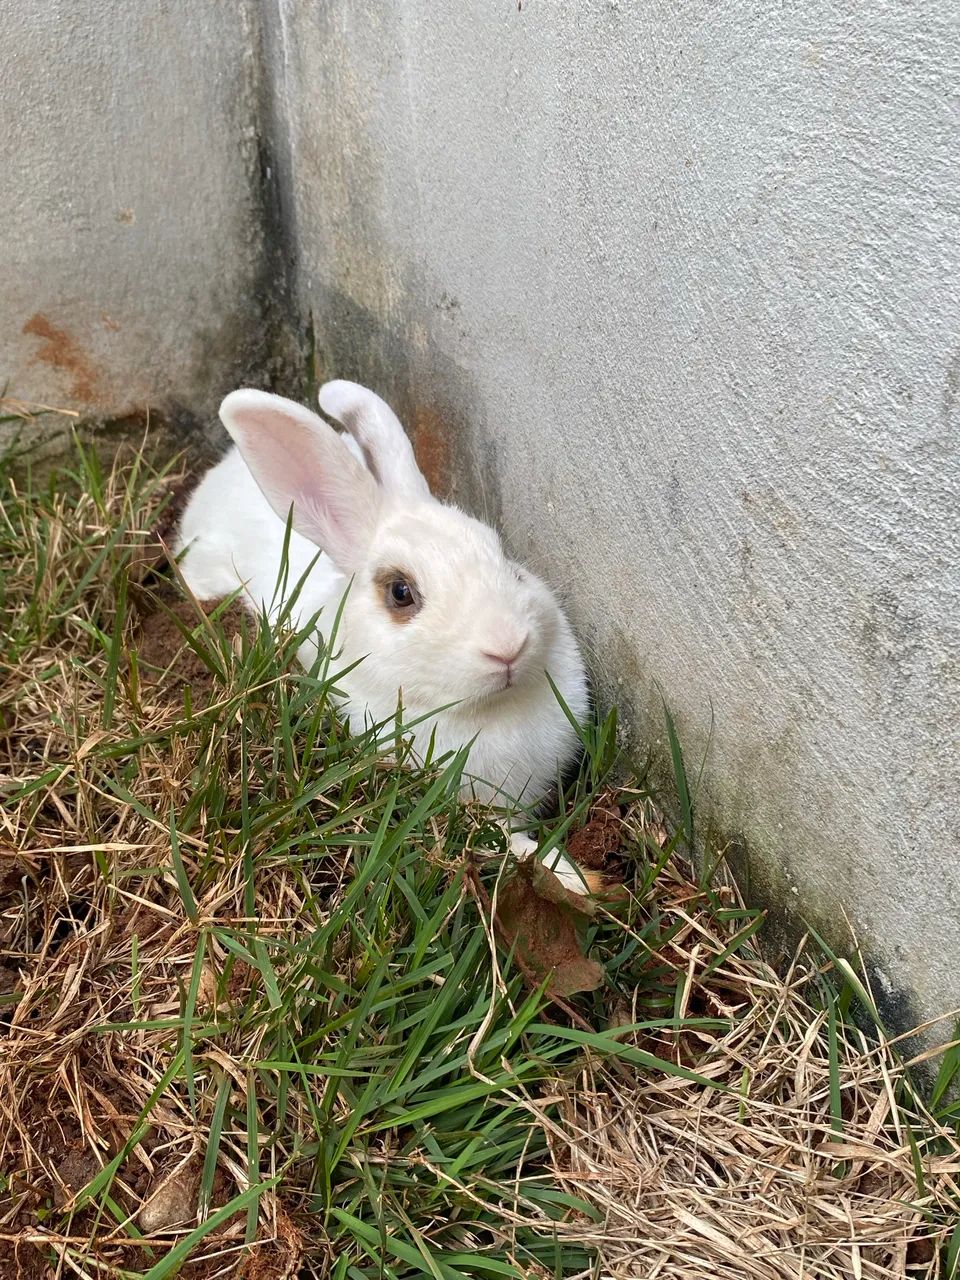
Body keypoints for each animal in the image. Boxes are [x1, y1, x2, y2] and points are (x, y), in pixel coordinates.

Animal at [175, 381, 593, 892]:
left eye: (506, 560)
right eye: (400, 592)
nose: (508, 646)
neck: (492, 711)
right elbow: (505, 838)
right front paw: (572, 879)